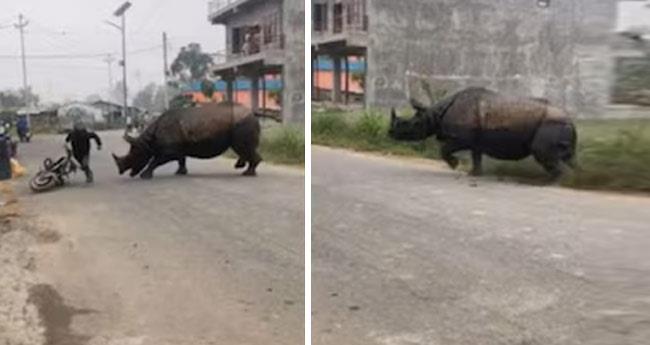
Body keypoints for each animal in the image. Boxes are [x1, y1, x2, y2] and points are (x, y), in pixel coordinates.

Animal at [112, 101, 264, 179]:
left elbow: (155, 161)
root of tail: (252, 112)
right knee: (243, 148)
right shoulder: (178, 148)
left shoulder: (168, 151)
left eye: (135, 155)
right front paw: (180, 173)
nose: (120, 171)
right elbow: (181, 159)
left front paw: (145, 176)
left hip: (242, 123)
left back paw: (248, 174)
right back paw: (241, 167)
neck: (148, 142)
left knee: (242, 147)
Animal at [388, 87, 576, 179]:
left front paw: (454, 165)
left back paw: (551, 183)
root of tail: (571, 120)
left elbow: (445, 149)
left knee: (542, 152)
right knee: (566, 157)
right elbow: (476, 156)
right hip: (559, 127)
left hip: (550, 125)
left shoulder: (461, 137)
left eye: (411, 124)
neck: (435, 114)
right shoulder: (475, 140)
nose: (390, 133)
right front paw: (474, 174)